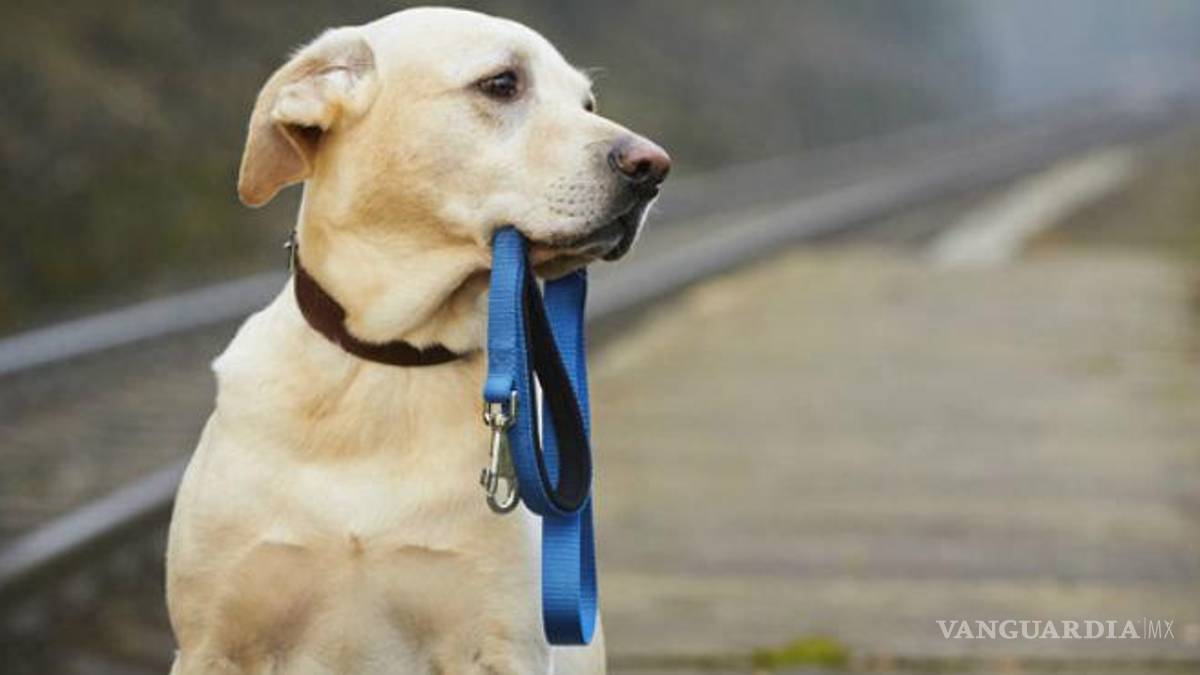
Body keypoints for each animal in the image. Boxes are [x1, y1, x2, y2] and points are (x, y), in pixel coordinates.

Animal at [164, 7, 669, 675]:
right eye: (502, 83)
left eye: (587, 103)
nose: (654, 166)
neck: (392, 360)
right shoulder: (214, 643)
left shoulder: (502, 647)